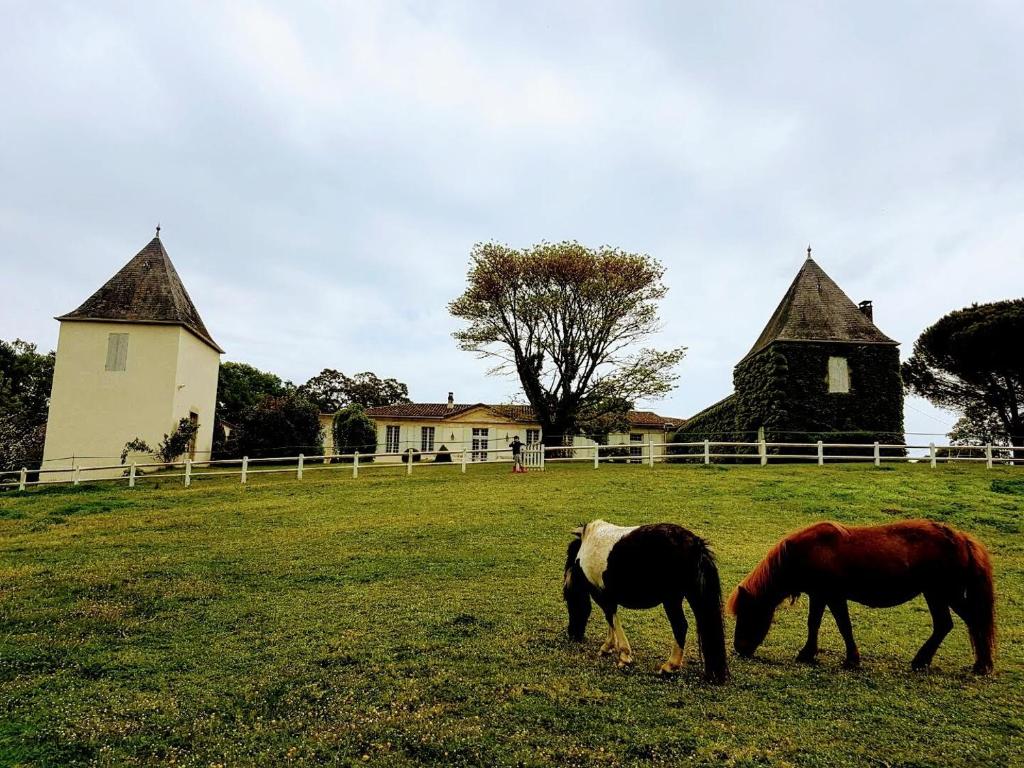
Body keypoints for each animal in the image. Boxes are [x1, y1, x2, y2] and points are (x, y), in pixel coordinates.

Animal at [561, 520, 729, 684]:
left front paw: (623, 655)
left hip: (672, 600)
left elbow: (611, 619)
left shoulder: (602, 596)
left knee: (680, 626)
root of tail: (696, 544)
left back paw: (669, 666)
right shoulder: (608, 597)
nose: (573, 635)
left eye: (569, 602)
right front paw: (608, 647)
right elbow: (611, 622)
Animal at [724, 520, 995, 675]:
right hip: (935, 594)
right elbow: (814, 624)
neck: (806, 551)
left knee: (971, 621)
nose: (740, 648)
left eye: (747, 614)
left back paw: (981, 665)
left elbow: (844, 626)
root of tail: (961, 538)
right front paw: (808, 654)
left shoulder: (834, 596)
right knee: (944, 625)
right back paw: (922, 661)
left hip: (944, 593)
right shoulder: (819, 595)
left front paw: (851, 659)